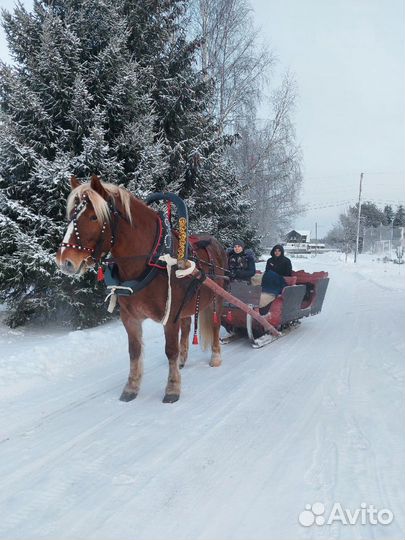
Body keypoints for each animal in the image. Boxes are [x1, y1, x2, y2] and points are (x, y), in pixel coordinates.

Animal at [55, 175, 227, 402]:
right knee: (187, 325)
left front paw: (172, 388)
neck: (150, 259)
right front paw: (131, 387)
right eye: (72, 215)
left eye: (93, 217)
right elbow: (134, 351)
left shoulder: (170, 315)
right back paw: (184, 359)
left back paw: (215, 356)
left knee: (215, 325)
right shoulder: (130, 317)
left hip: (217, 297)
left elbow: (170, 350)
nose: (64, 261)